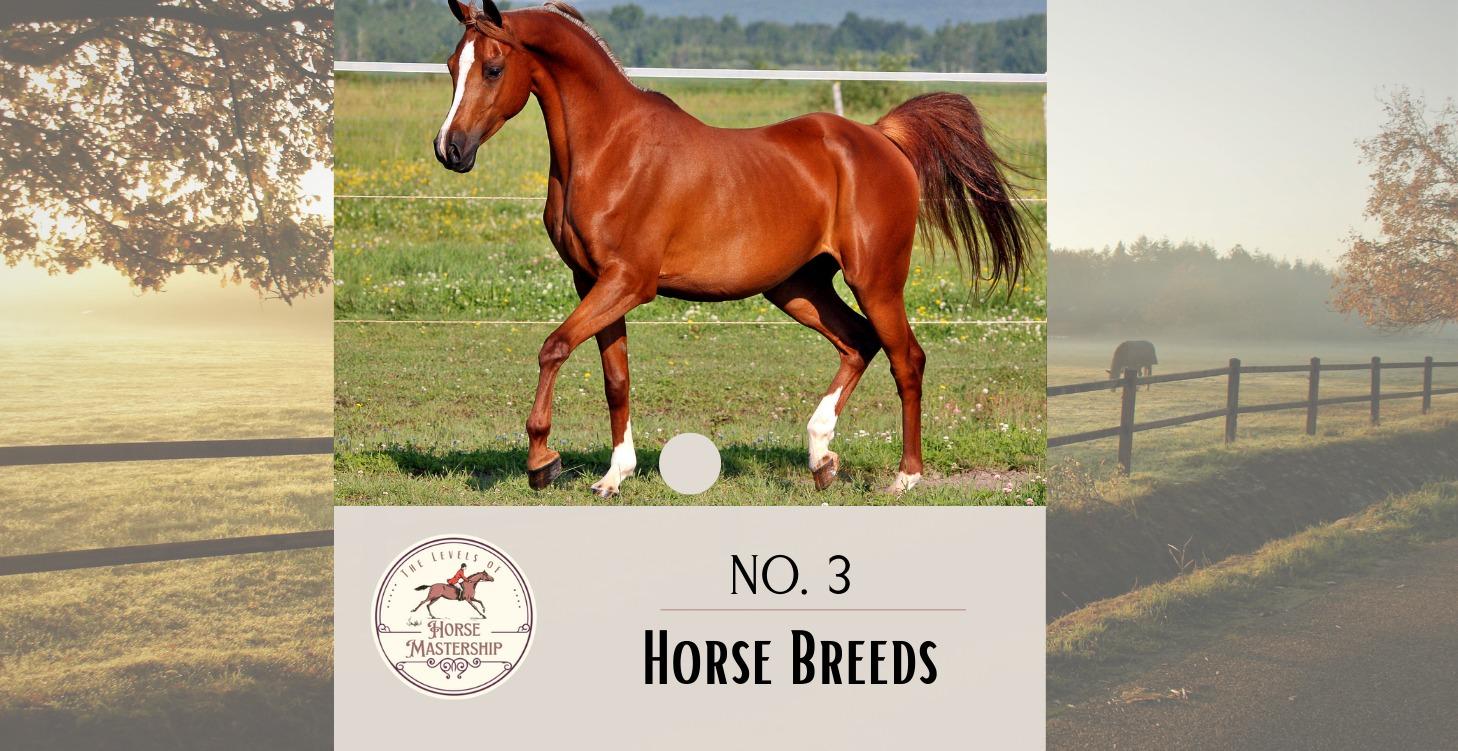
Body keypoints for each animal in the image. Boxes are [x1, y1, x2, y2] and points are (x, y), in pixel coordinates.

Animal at [433, 0, 1033, 497]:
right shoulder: (594, 282)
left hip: (876, 280)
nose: (449, 150)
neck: (609, 149)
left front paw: (542, 461)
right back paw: (821, 458)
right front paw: (613, 476)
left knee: (906, 358)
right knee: (859, 342)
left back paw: (906, 478)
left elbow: (553, 347)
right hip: (798, 287)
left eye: (493, 68)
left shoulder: (628, 282)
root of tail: (881, 137)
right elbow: (615, 379)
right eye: (451, 65)